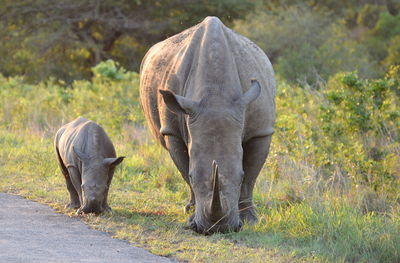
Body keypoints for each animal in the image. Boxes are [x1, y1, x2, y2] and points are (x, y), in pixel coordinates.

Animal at [140, 17, 276, 235]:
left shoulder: (261, 131)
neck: (216, 96)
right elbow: (184, 168)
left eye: (239, 176)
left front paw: (250, 220)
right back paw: (190, 209)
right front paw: (192, 214)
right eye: (193, 175)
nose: (217, 228)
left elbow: (251, 178)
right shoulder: (172, 130)